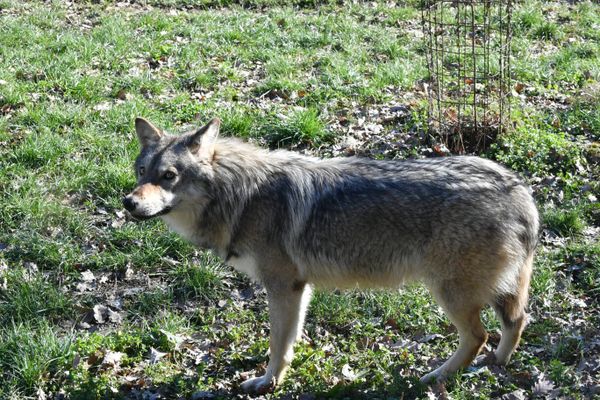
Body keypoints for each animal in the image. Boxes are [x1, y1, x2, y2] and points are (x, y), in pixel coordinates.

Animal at [122, 117, 540, 392]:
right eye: (142, 171)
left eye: (169, 176)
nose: (128, 202)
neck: (240, 195)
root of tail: (521, 191)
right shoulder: (299, 289)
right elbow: (290, 341)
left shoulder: (283, 287)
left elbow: (277, 345)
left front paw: (267, 383)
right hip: (488, 291)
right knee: (516, 320)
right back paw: (499, 364)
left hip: (449, 292)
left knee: (479, 336)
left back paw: (438, 377)